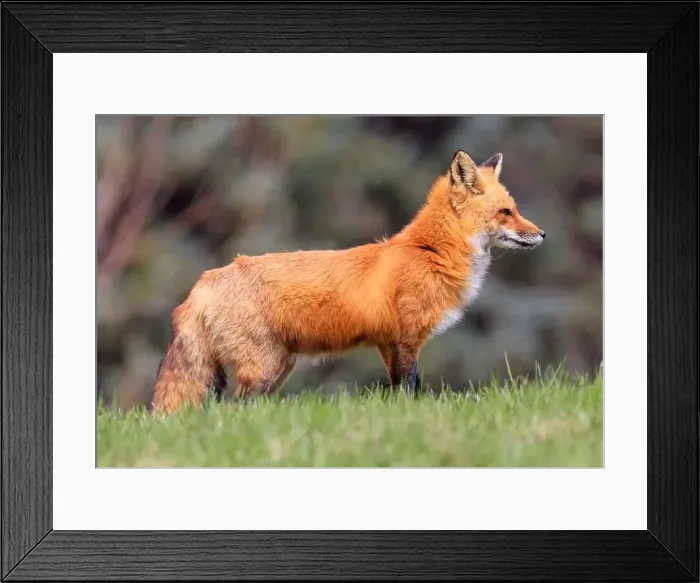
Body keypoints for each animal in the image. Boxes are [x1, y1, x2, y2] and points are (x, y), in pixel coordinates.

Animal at [151, 150, 545, 413]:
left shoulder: (388, 343)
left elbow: (401, 387)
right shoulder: (407, 339)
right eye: (506, 212)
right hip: (263, 368)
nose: (542, 234)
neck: (429, 250)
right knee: (233, 410)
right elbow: (410, 388)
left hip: (279, 367)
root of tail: (205, 280)